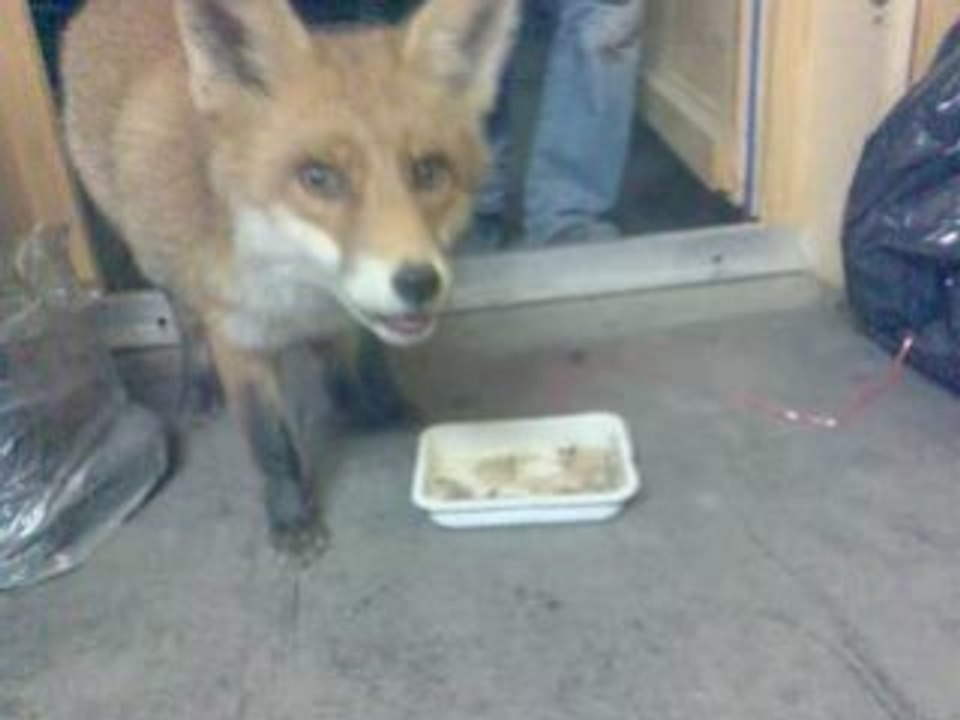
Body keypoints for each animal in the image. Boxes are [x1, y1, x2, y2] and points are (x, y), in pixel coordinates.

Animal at [61, 0, 518, 559]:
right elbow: (272, 443)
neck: (300, 294)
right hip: (155, 258)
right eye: (318, 178)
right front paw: (292, 516)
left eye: (429, 171)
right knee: (183, 320)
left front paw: (375, 405)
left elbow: (355, 362)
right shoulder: (238, 337)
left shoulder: (345, 319)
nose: (418, 282)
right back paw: (198, 389)